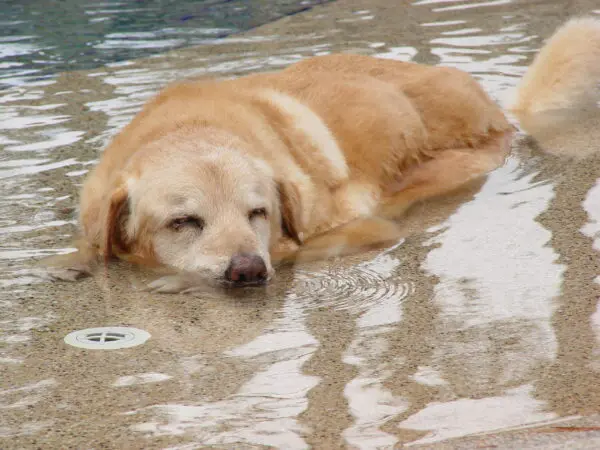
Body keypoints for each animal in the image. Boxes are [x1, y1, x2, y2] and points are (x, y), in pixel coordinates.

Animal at [63, 17, 596, 290]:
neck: (190, 126)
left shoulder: (356, 231)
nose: (248, 271)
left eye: (258, 212)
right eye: (183, 222)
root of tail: (494, 107)